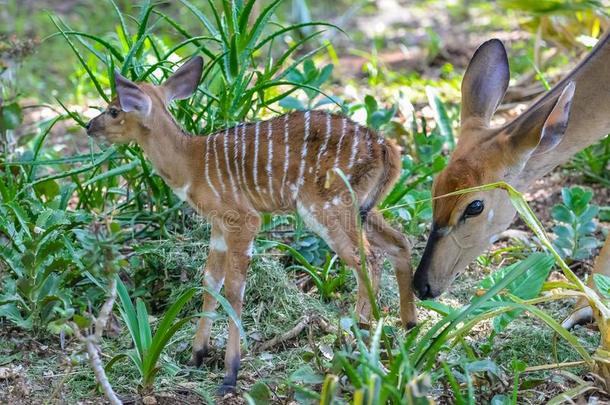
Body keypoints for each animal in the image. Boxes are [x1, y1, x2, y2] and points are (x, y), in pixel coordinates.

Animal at [83, 58, 416, 392]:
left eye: (114, 110)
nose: (89, 127)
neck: (191, 164)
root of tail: (387, 148)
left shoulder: (244, 218)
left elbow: (234, 289)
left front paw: (229, 374)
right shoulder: (218, 225)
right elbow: (210, 282)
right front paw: (196, 355)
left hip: (326, 207)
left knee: (367, 258)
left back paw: (356, 337)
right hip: (360, 207)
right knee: (399, 241)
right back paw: (408, 326)